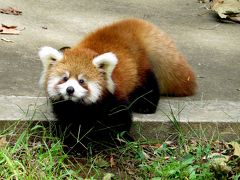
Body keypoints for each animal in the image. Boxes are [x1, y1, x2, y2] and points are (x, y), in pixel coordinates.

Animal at [38, 18, 197, 153]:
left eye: (82, 81)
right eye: (64, 79)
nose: (70, 90)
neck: (79, 106)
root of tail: (133, 26)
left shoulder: (114, 94)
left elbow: (120, 120)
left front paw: (114, 141)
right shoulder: (65, 106)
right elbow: (71, 124)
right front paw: (74, 144)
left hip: (140, 69)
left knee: (148, 85)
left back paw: (145, 106)